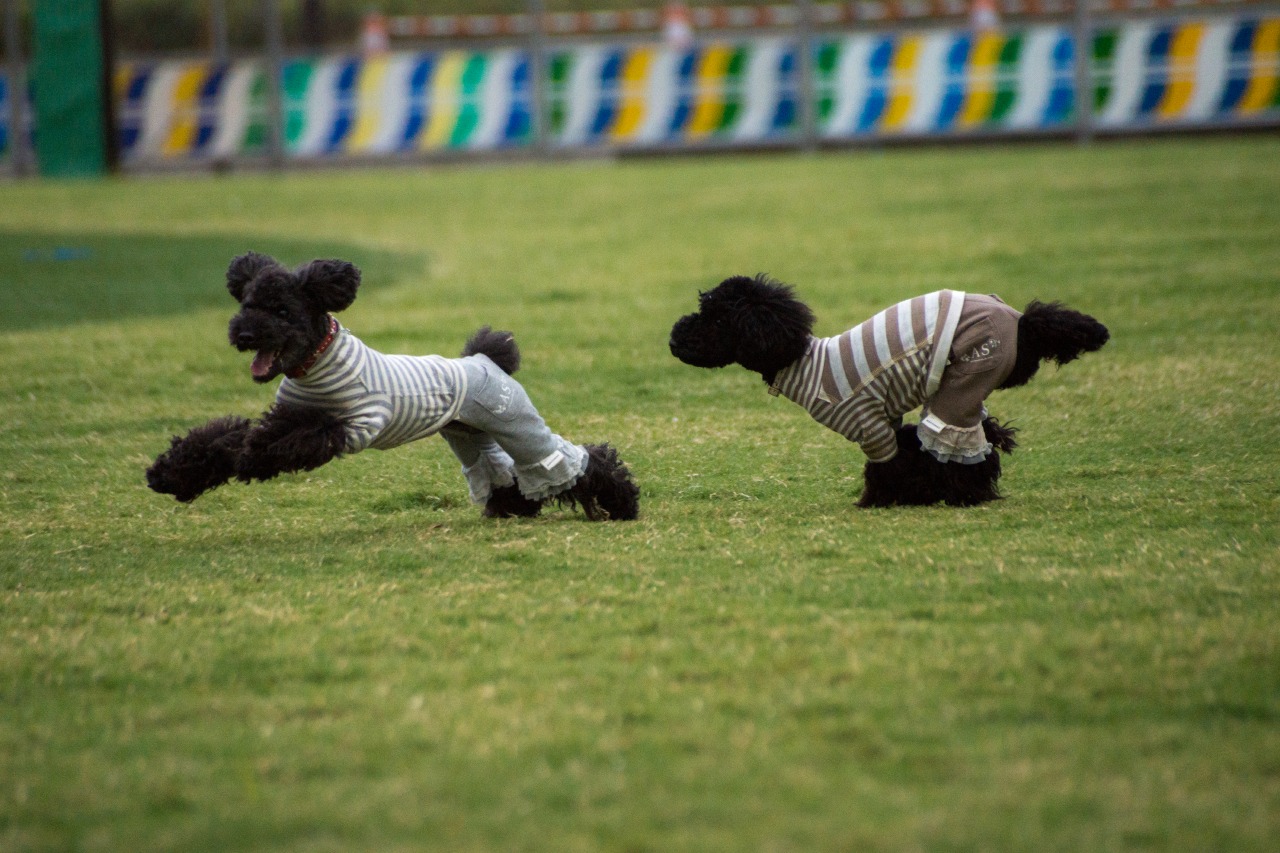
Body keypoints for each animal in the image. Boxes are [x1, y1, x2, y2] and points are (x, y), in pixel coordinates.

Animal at [146, 252, 640, 521]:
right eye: (246, 304)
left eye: (282, 311)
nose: (245, 334)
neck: (315, 362)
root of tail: (486, 358)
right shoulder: (289, 411)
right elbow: (227, 436)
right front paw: (172, 473)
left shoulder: (352, 424)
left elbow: (285, 441)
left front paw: (248, 458)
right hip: (471, 434)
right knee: (499, 471)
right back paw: (515, 507)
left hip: (514, 420)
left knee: (568, 459)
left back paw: (621, 503)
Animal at [669, 274, 1108, 507]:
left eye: (716, 320)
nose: (673, 337)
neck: (803, 362)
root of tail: (1019, 321)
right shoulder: (890, 421)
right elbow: (912, 447)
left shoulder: (870, 426)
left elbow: (887, 463)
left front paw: (874, 501)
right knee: (979, 433)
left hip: (969, 374)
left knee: (961, 442)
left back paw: (968, 492)